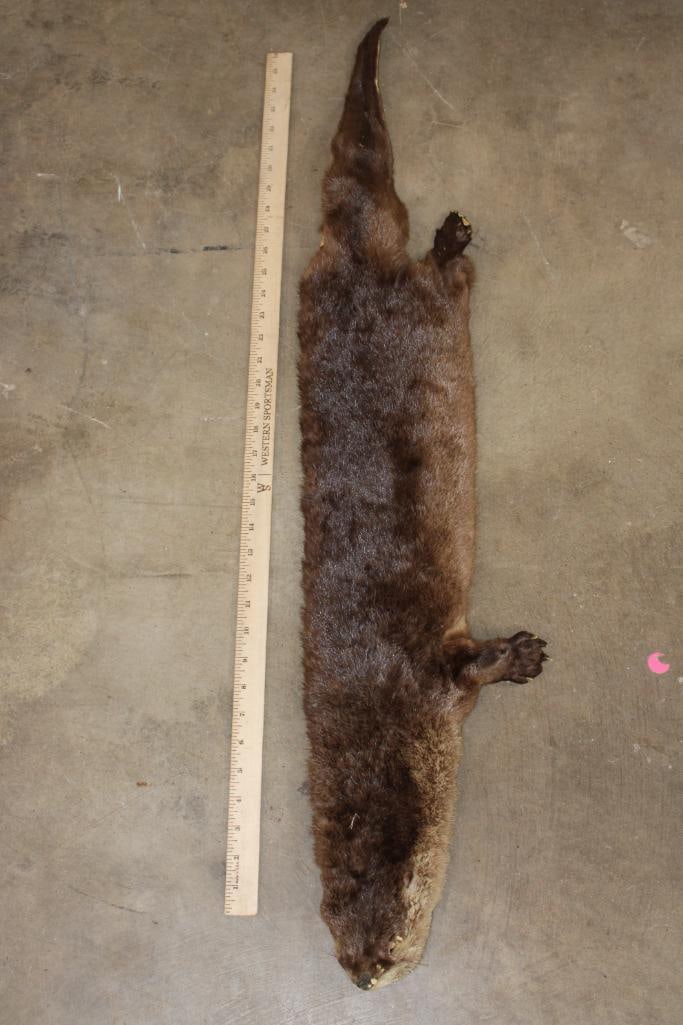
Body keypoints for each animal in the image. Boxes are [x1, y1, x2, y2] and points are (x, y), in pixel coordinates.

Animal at [297, 18, 548, 990]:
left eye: (392, 931)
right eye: (339, 936)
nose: (366, 975)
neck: (385, 726)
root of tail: (353, 262)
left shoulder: (431, 681)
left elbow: (470, 663)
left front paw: (522, 653)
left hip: (431, 305)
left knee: (447, 278)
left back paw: (449, 237)